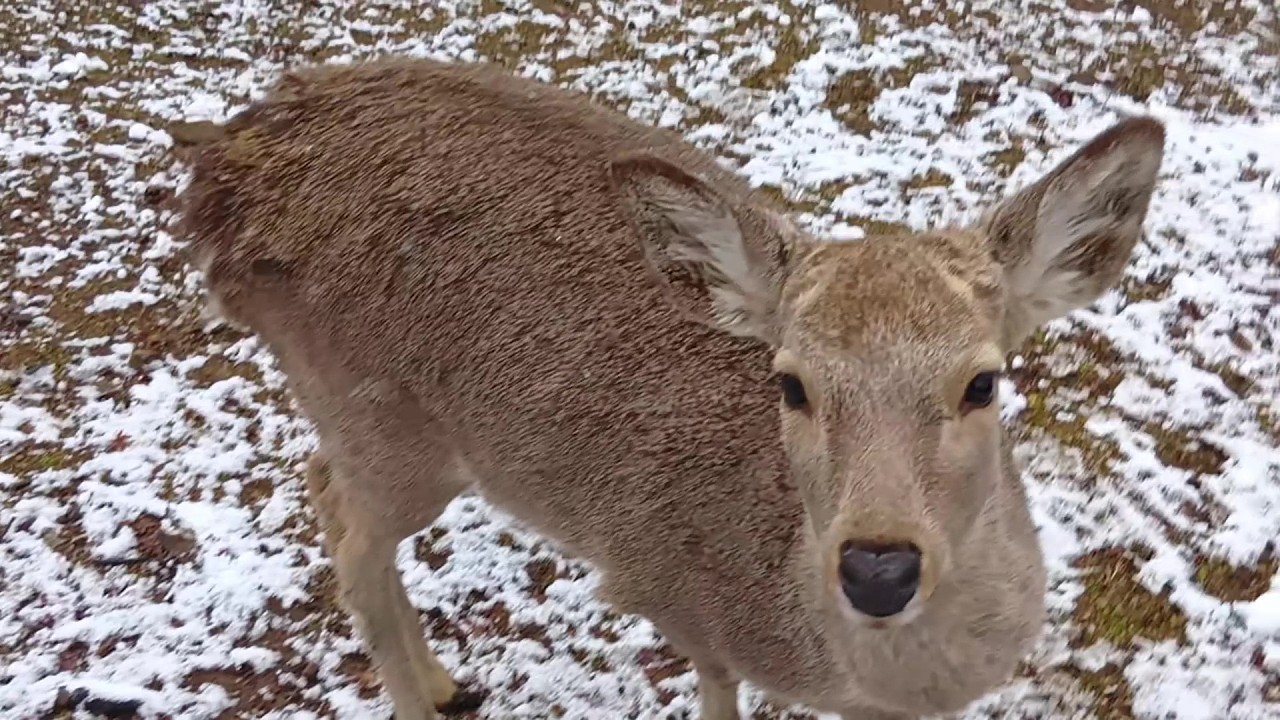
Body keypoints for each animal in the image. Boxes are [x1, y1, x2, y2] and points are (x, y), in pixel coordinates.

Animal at [169, 56, 1165, 720]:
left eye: (983, 381)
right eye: (791, 385)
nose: (877, 567)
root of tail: (221, 171)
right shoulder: (665, 585)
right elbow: (715, 685)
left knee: (322, 490)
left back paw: (447, 682)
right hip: (379, 418)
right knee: (344, 525)